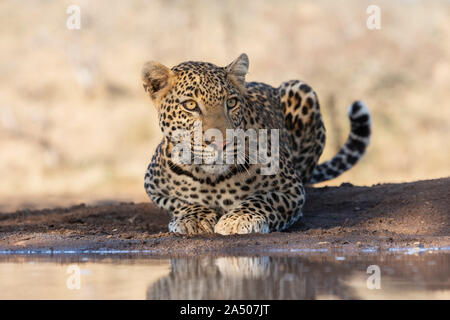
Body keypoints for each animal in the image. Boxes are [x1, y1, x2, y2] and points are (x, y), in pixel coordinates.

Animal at [142, 53, 370, 235]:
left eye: (231, 102)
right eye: (190, 105)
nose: (222, 143)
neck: (212, 180)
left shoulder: (292, 189)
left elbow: (263, 198)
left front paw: (238, 218)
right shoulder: (153, 187)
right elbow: (180, 201)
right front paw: (194, 218)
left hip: (301, 89)